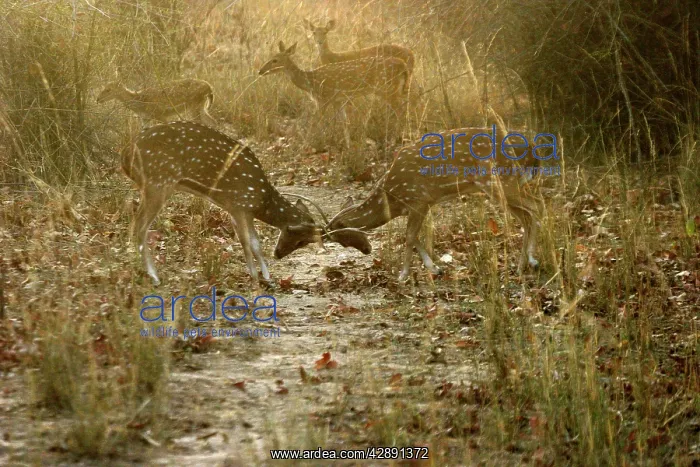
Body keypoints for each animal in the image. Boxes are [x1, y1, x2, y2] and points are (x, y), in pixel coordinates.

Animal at [121, 121, 351, 286]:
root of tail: (125, 156)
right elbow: (248, 243)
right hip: (158, 183)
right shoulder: (240, 205)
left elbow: (254, 243)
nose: (278, 254)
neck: (261, 200)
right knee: (139, 227)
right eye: (301, 240)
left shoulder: (235, 209)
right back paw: (154, 277)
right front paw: (255, 277)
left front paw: (267, 278)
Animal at [258, 41, 410, 145]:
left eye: (275, 60)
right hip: (395, 89)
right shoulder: (338, 100)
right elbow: (345, 122)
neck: (311, 83)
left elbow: (316, 122)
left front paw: (307, 144)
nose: (260, 71)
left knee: (401, 111)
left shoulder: (323, 98)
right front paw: (348, 145)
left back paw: (394, 140)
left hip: (387, 89)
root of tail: (403, 66)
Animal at [325, 126, 551, 281]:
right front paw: (435, 268)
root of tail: (533, 151)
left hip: (501, 181)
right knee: (527, 217)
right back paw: (521, 266)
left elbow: (409, 237)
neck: (390, 197)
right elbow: (413, 236)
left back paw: (533, 260)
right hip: (505, 187)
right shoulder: (418, 205)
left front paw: (403, 275)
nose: (367, 249)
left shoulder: (419, 199)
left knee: (538, 206)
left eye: (340, 237)